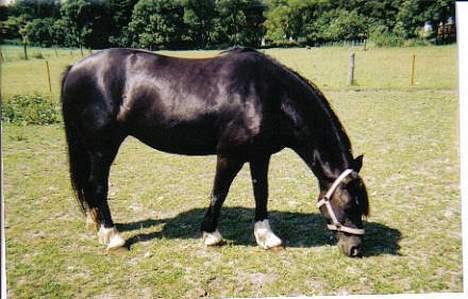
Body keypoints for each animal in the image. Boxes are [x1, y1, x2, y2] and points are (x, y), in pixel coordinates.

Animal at [61, 47, 370, 258]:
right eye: (350, 205)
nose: (355, 248)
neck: (269, 94)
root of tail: (76, 67)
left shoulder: (260, 155)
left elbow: (262, 192)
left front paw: (266, 237)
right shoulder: (230, 155)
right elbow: (219, 192)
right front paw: (211, 235)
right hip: (102, 148)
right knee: (98, 186)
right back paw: (113, 236)